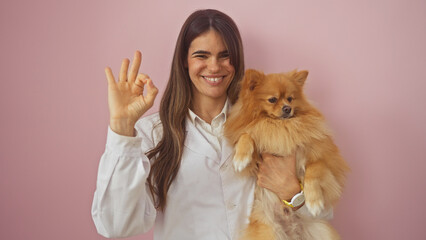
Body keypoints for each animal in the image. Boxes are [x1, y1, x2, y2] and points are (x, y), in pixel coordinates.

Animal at [225, 68, 348, 239]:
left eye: (290, 99)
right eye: (272, 99)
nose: (287, 108)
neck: (280, 126)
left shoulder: (323, 158)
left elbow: (313, 171)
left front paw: (314, 202)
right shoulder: (256, 161)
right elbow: (247, 135)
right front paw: (240, 158)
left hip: (321, 231)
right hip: (269, 231)